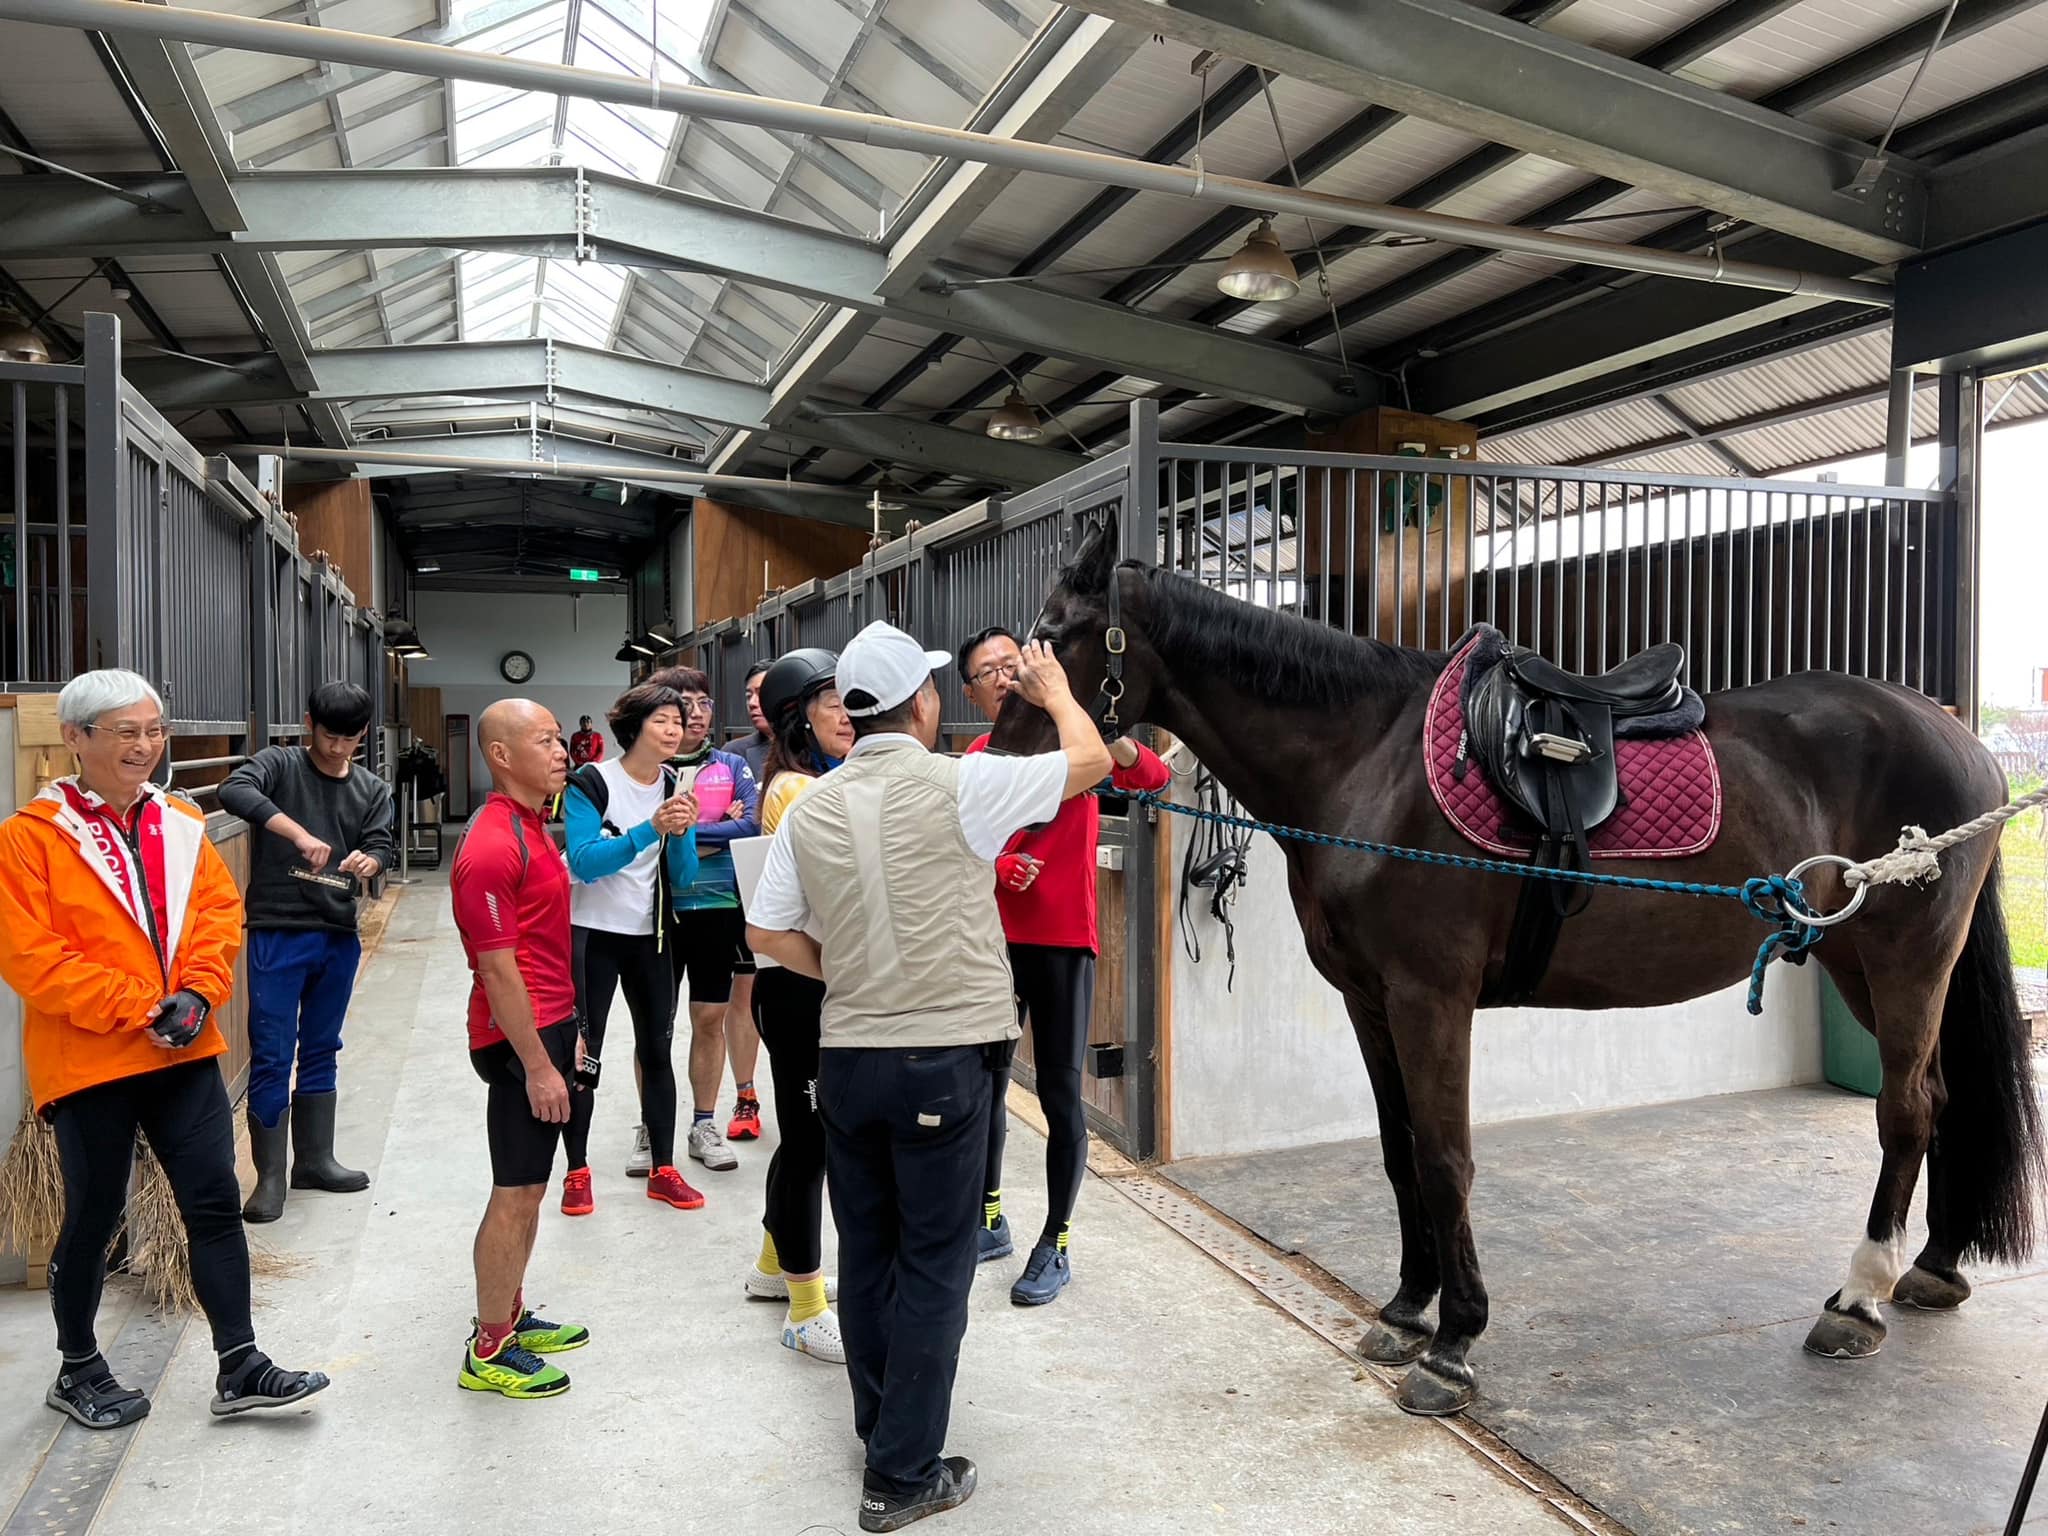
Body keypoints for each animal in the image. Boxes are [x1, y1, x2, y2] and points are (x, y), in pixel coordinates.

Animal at [987, 515, 2044, 1418]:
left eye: (1053, 638)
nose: (999, 770)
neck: (1365, 762)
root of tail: (1959, 734)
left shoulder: (1431, 998)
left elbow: (1446, 1158)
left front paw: (1454, 1347)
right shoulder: (1370, 1002)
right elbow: (1400, 1152)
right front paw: (1405, 1311)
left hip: (1907, 959)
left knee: (1904, 1110)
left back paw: (1856, 1302)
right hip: (1860, 964)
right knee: (1938, 1098)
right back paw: (1931, 1266)